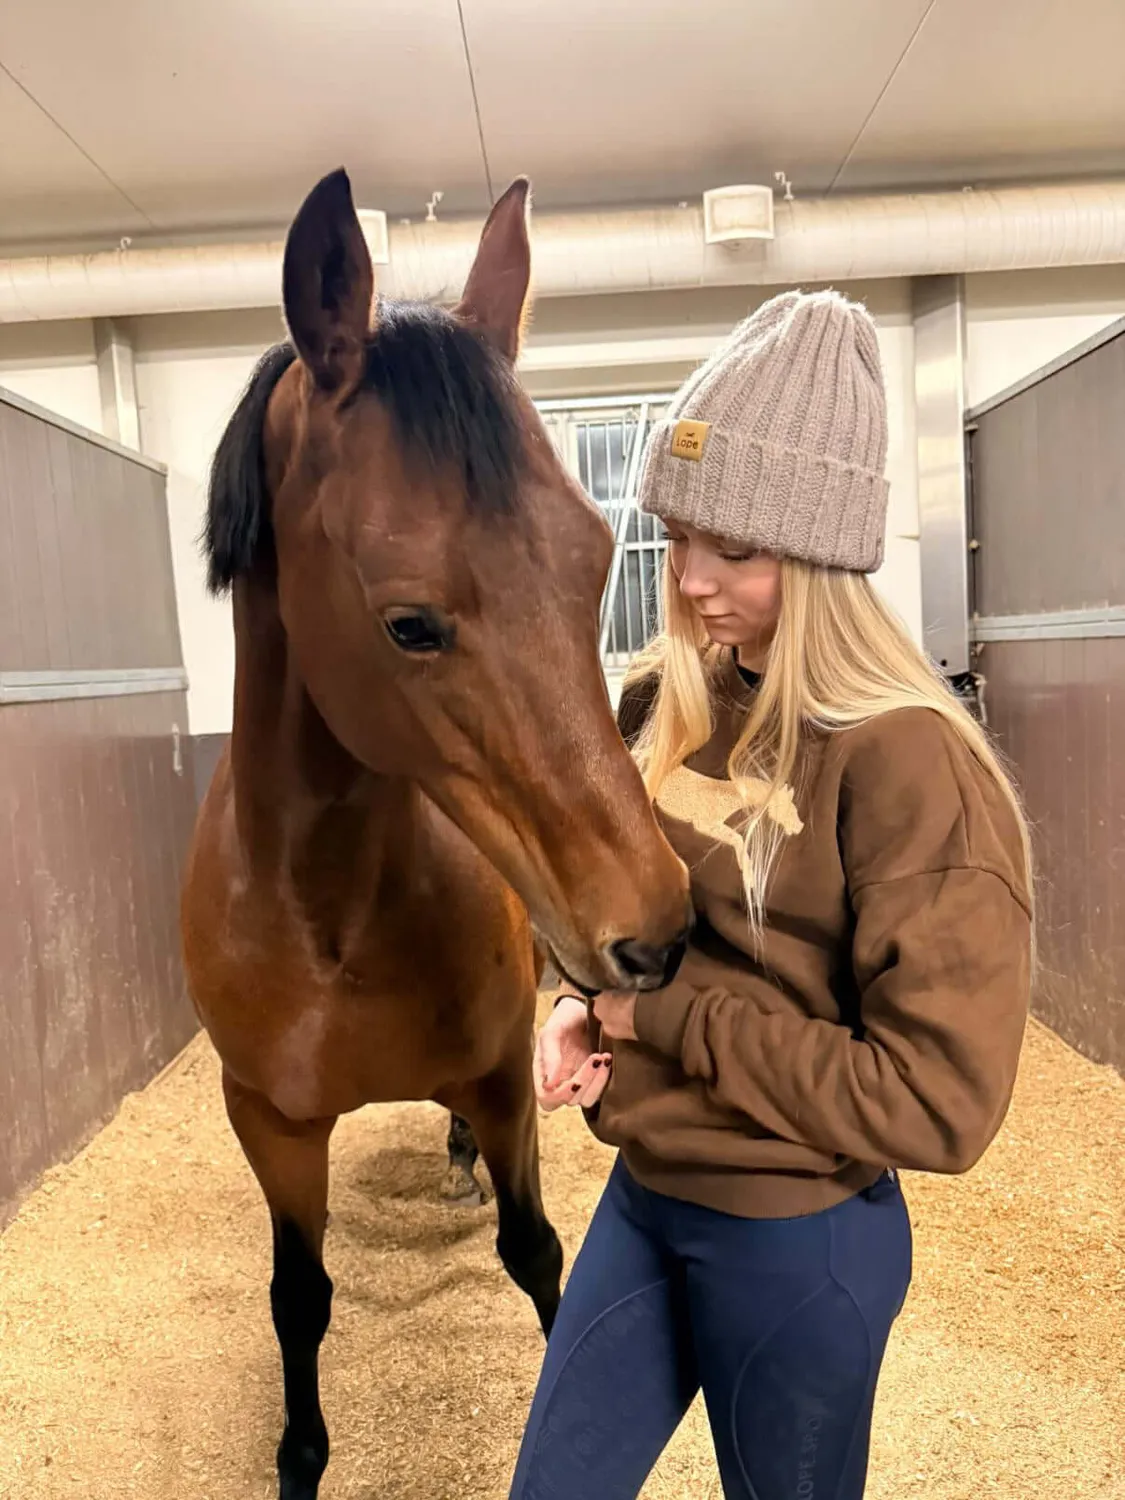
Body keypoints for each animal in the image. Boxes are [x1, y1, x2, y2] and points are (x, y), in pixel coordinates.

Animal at [179, 166, 691, 1500]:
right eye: (409, 624)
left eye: (595, 560)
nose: (657, 929)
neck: (331, 919)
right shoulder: (270, 1123)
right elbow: (299, 1300)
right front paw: (300, 1457)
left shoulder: (506, 1075)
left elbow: (539, 1254)